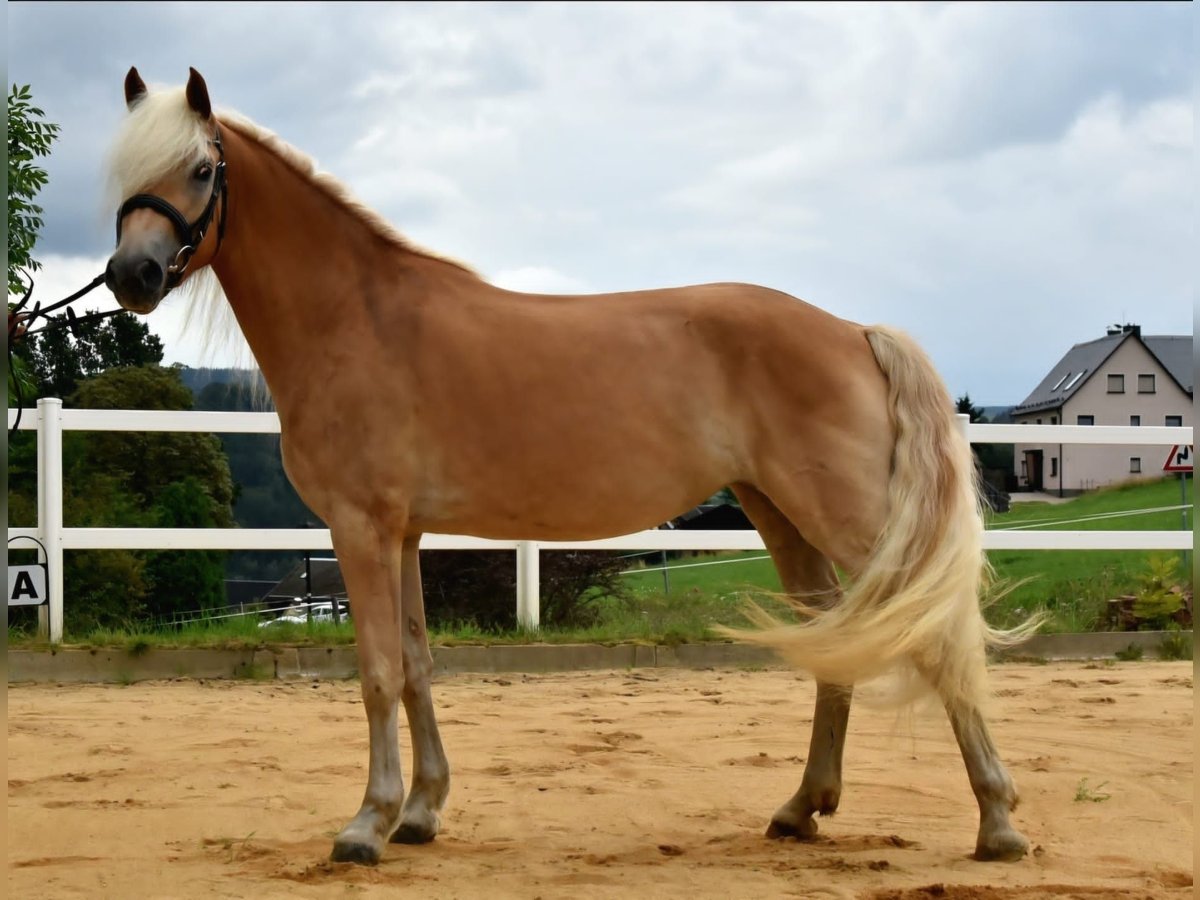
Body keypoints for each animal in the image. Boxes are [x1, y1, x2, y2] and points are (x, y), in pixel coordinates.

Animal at [103, 66, 1036, 868]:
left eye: (198, 169)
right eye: (121, 173)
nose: (130, 275)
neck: (357, 318)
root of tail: (853, 332)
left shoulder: (361, 528)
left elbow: (375, 675)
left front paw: (368, 823)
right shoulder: (402, 534)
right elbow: (416, 666)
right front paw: (422, 811)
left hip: (845, 514)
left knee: (938, 638)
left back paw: (997, 824)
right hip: (779, 512)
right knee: (834, 642)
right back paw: (801, 809)